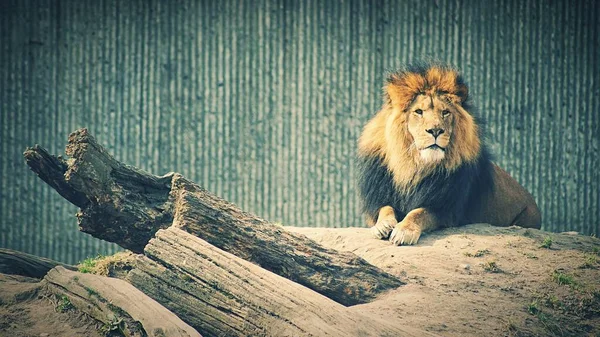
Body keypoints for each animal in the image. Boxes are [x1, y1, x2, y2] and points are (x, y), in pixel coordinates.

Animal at [358, 63, 540, 245]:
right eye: (418, 111)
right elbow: (385, 208)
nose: (435, 130)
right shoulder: (381, 194)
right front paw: (382, 225)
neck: (413, 165)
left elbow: (418, 213)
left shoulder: (446, 210)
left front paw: (404, 231)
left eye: (445, 112)